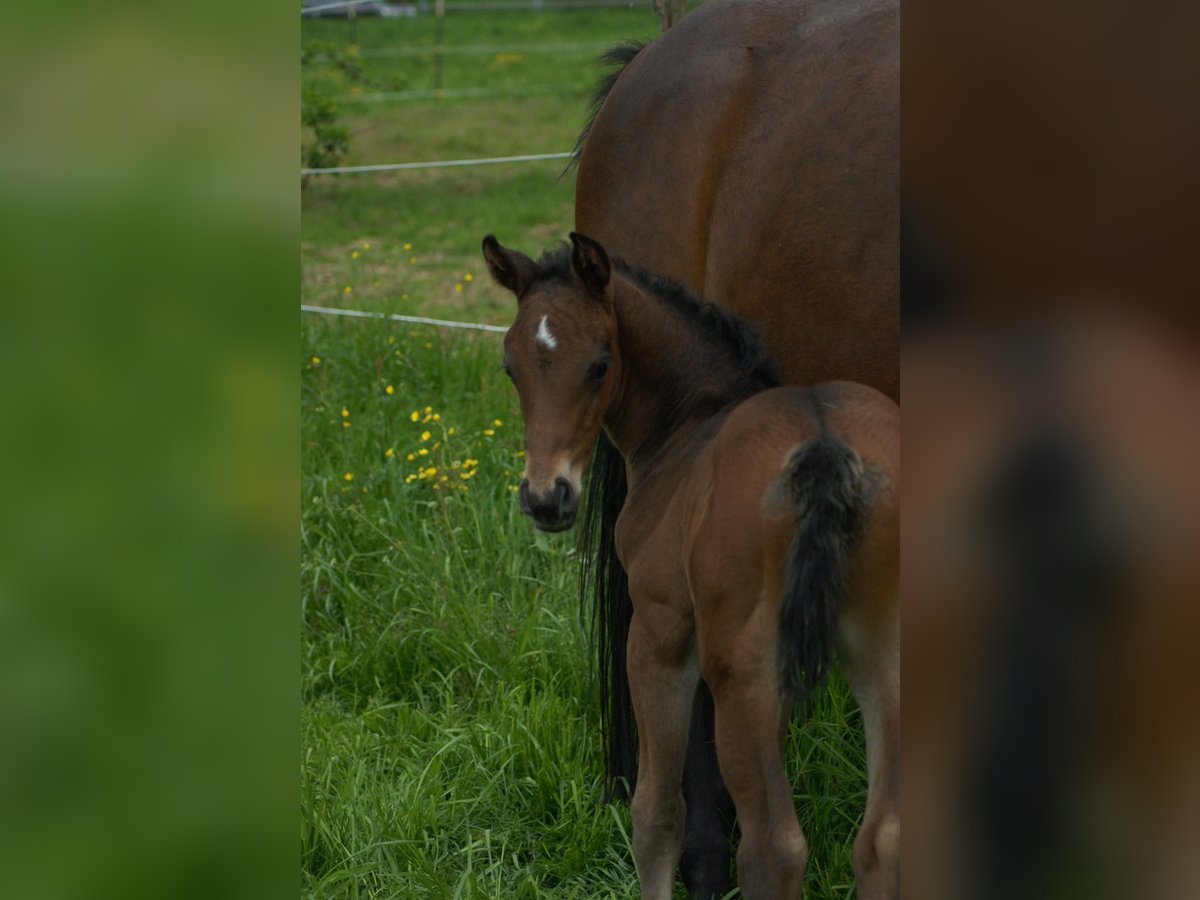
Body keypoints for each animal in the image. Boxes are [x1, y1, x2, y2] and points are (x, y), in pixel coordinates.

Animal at [482, 234, 897, 900]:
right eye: (510, 367)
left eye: (599, 364)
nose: (548, 499)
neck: (689, 423)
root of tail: (827, 450)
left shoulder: (658, 632)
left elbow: (655, 811)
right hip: (887, 659)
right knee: (882, 839)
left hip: (745, 672)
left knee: (773, 848)